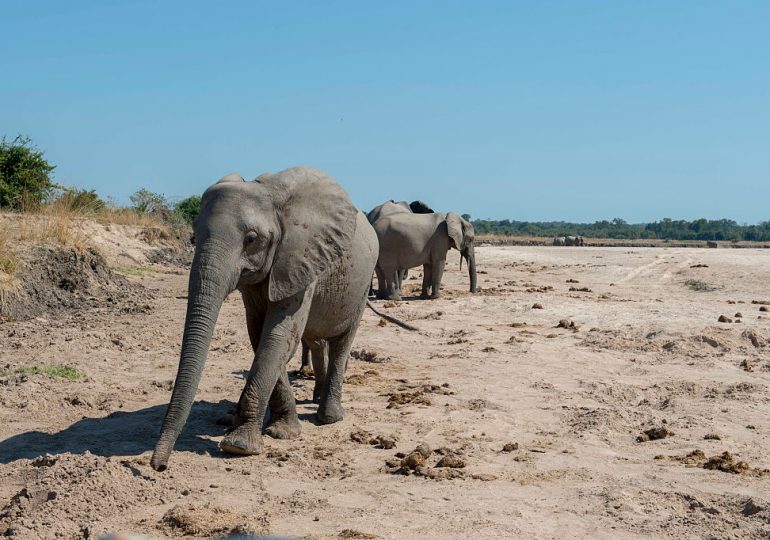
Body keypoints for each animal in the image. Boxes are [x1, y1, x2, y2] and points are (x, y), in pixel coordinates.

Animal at [152, 167, 414, 470]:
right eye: (193, 237)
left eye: (251, 239)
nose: (159, 466)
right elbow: (260, 336)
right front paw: (281, 431)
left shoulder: (300, 257)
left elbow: (277, 336)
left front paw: (238, 446)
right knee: (315, 339)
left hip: (361, 285)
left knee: (342, 342)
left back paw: (329, 417)